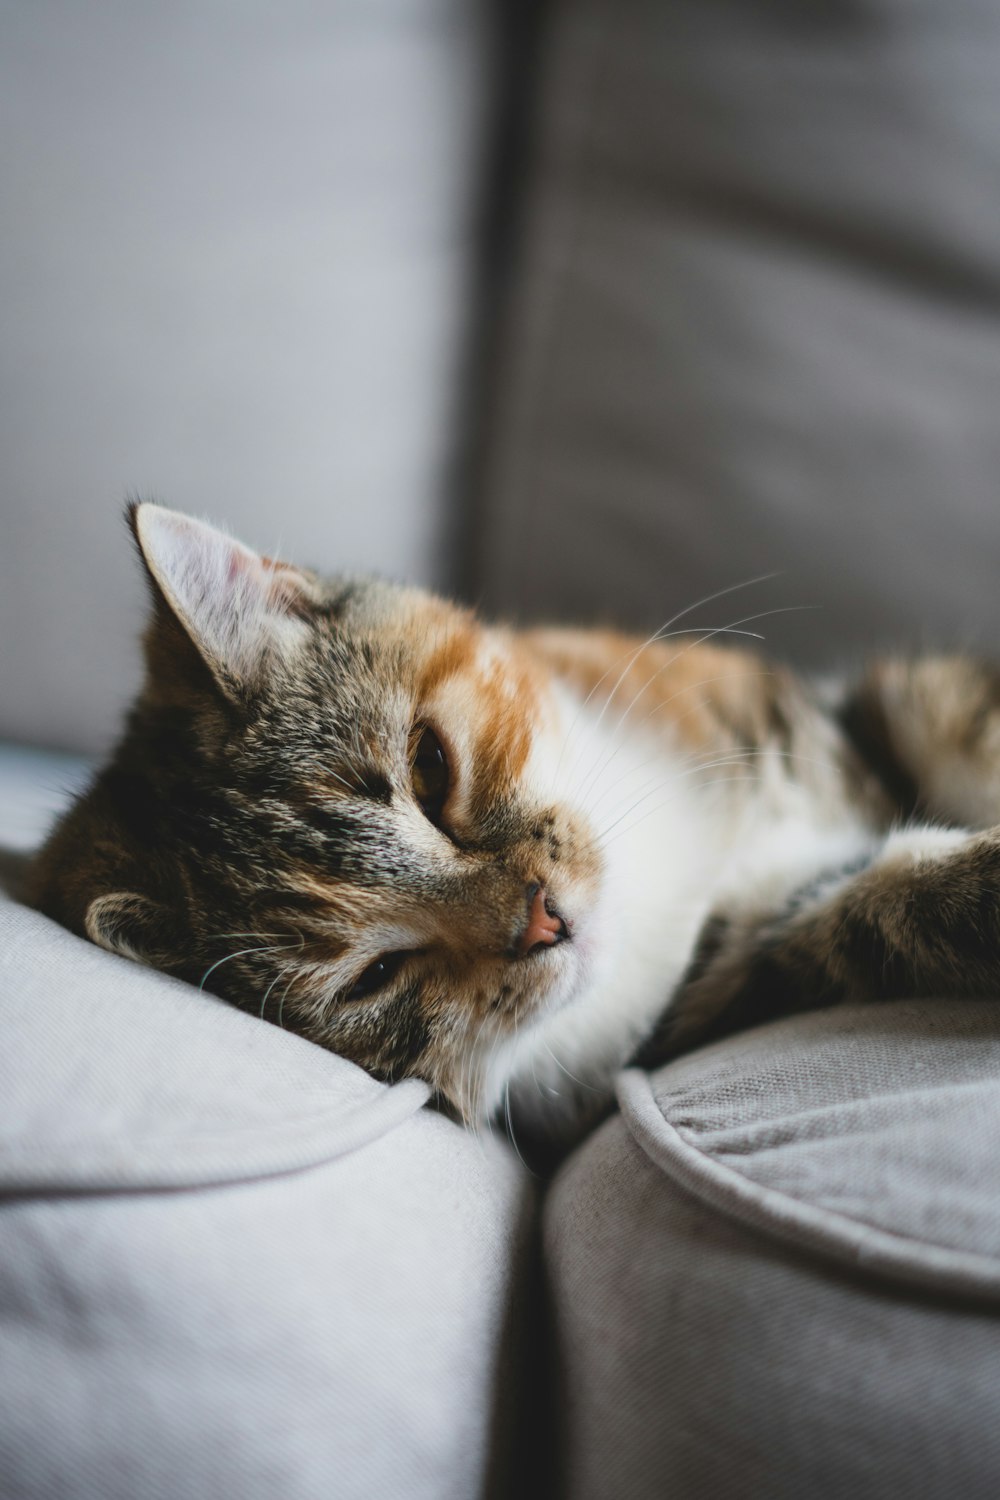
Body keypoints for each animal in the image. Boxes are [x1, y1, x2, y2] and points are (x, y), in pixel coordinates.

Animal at [27, 504, 1000, 1146]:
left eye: (429, 769)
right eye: (373, 977)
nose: (546, 920)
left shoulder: (865, 710)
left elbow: (955, 721)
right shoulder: (733, 966)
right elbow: (870, 914)